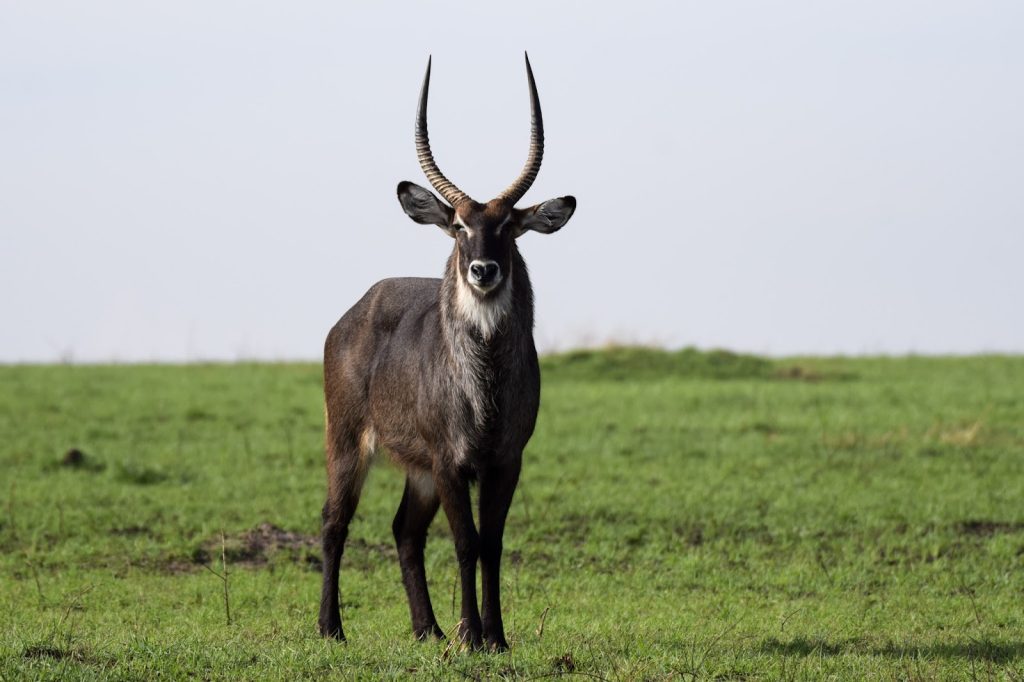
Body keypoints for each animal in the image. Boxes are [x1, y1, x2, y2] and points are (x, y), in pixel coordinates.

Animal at [317, 54, 576, 651]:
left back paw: (427, 630)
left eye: (509, 226)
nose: (483, 270)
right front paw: (472, 636)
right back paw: (331, 628)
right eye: (459, 226)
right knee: (334, 522)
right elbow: (465, 542)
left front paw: (495, 637)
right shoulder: (450, 459)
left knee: (404, 531)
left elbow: (492, 544)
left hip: (418, 471)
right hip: (348, 440)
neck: (484, 387)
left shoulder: (505, 460)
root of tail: (350, 315)